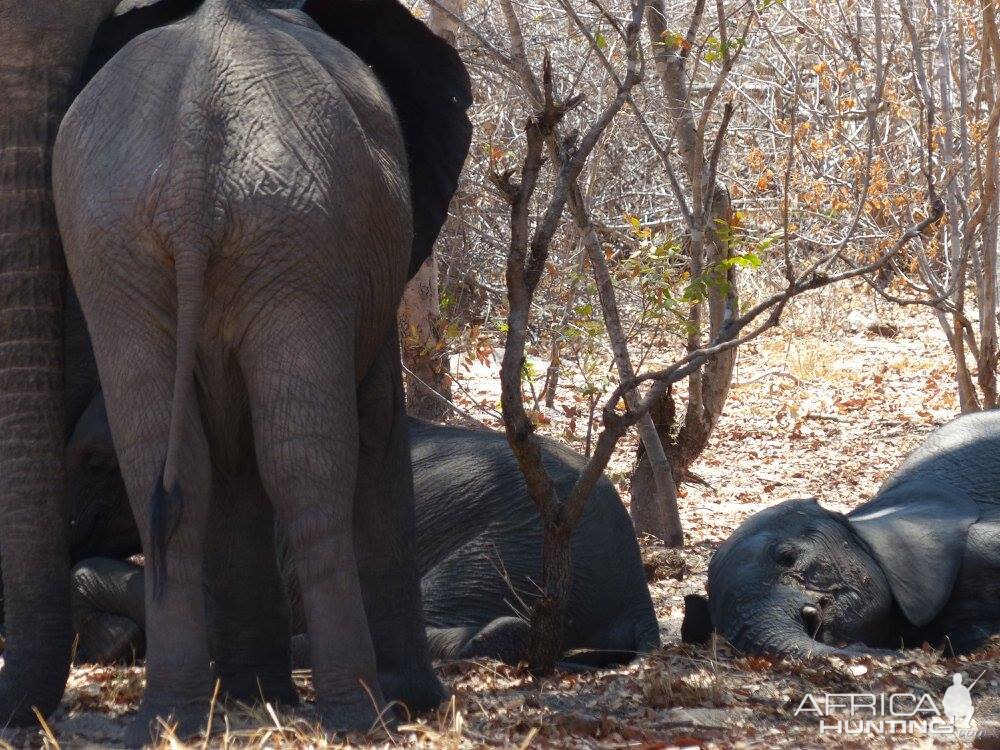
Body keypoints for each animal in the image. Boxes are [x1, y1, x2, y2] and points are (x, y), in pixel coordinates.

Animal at [47, 0, 472, 740]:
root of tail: (191, 163)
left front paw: (254, 696)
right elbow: (376, 431)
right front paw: (415, 700)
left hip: (131, 246)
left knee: (170, 464)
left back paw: (172, 719)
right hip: (287, 238)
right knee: (308, 466)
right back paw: (361, 716)